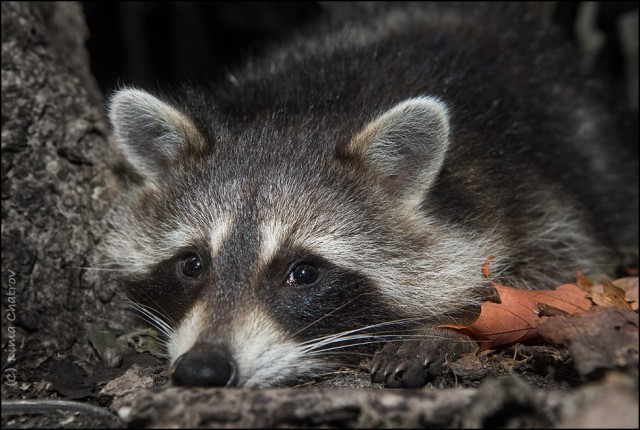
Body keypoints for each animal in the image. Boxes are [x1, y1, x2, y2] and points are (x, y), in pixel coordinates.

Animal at [102, 1, 636, 388]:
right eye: (192, 264)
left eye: (305, 272)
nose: (203, 370)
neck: (309, 106)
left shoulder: (521, 189)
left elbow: (562, 265)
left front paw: (444, 328)